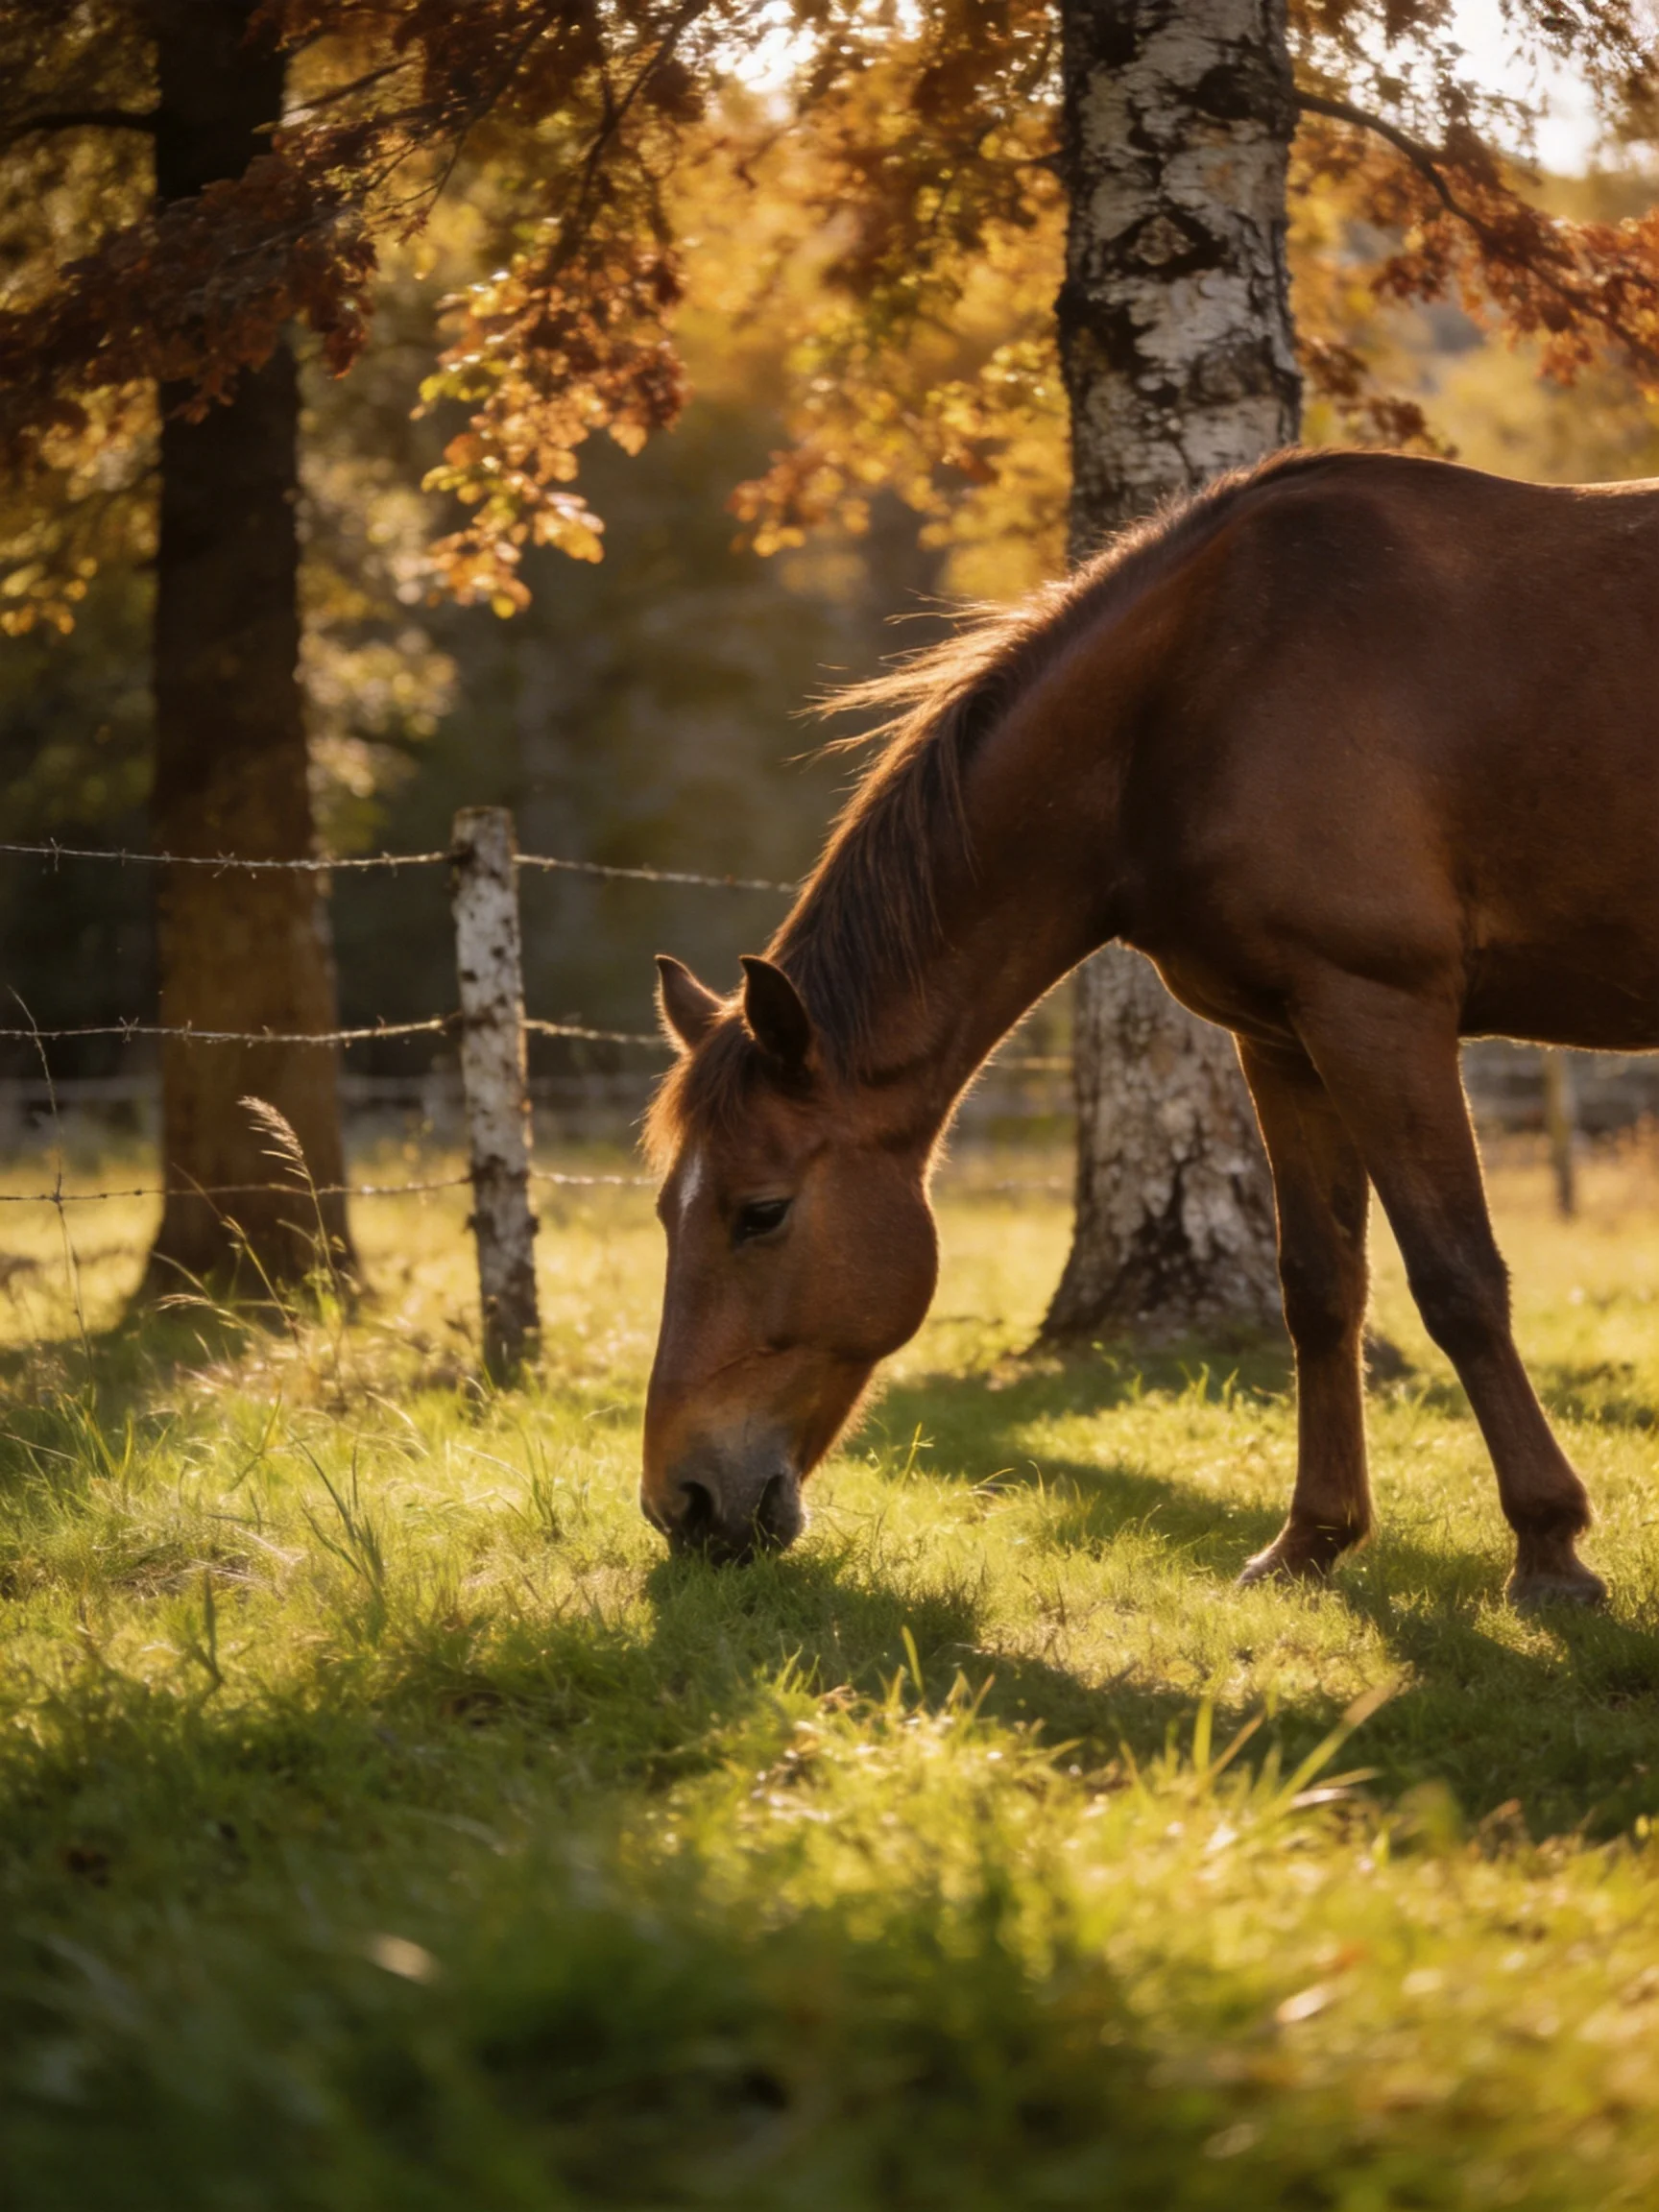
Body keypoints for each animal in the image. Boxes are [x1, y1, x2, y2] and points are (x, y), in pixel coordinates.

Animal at [641, 447, 1659, 1606]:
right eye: (668, 1211)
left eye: (760, 1213)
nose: (683, 1503)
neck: (1201, 690)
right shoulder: (1286, 1039)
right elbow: (1319, 1286)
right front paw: (1311, 1540)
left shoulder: (1379, 1011)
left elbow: (1459, 1279)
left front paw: (1550, 1548)